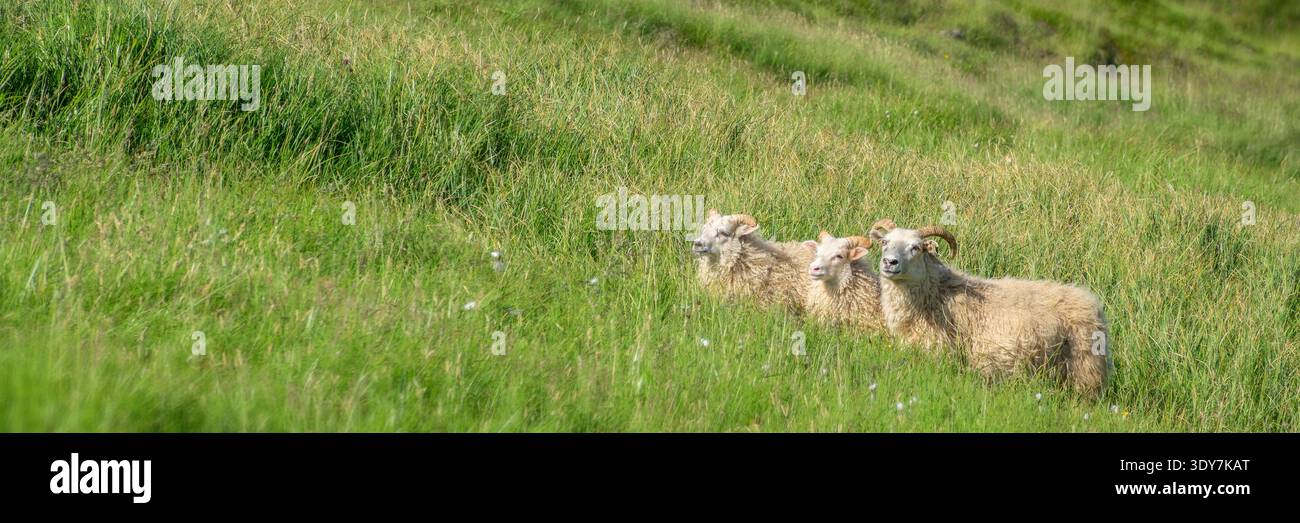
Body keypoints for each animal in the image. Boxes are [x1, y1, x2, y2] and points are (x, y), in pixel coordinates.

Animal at [869, 219, 1111, 395]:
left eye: (916, 248)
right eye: (885, 243)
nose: (890, 262)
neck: (936, 293)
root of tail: (1092, 302)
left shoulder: (941, 354)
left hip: (1085, 367)